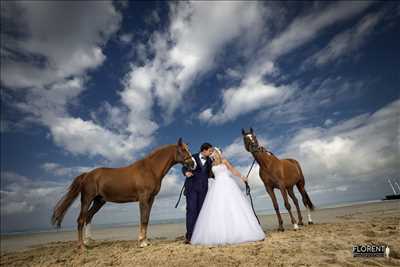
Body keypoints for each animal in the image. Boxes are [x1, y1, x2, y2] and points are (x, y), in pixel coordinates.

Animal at [50, 139, 195, 250]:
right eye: (183, 150)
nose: (193, 164)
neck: (149, 169)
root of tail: (87, 175)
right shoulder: (143, 198)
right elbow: (143, 218)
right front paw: (142, 242)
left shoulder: (151, 199)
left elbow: (146, 219)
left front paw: (145, 241)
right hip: (87, 199)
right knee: (81, 219)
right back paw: (82, 246)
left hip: (99, 201)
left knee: (89, 216)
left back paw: (88, 241)